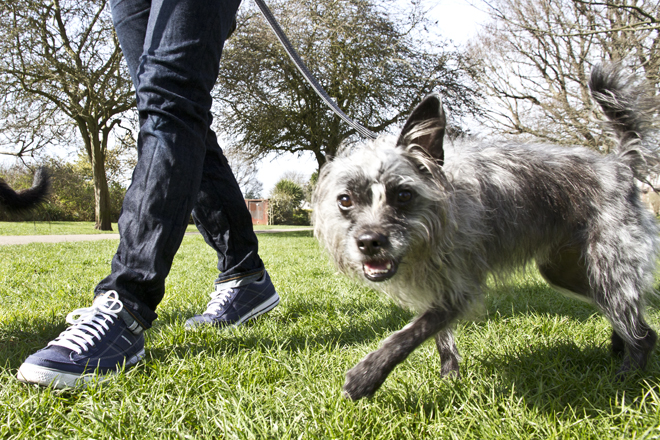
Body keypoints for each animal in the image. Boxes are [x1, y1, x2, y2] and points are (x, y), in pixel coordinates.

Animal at [310, 63, 660, 400]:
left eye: (404, 195)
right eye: (345, 200)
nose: (369, 243)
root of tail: (620, 164)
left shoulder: (459, 288)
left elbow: (411, 333)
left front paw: (367, 376)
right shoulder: (438, 287)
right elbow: (439, 337)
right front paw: (449, 378)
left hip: (609, 268)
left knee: (644, 333)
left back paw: (625, 377)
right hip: (568, 273)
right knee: (625, 315)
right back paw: (618, 347)